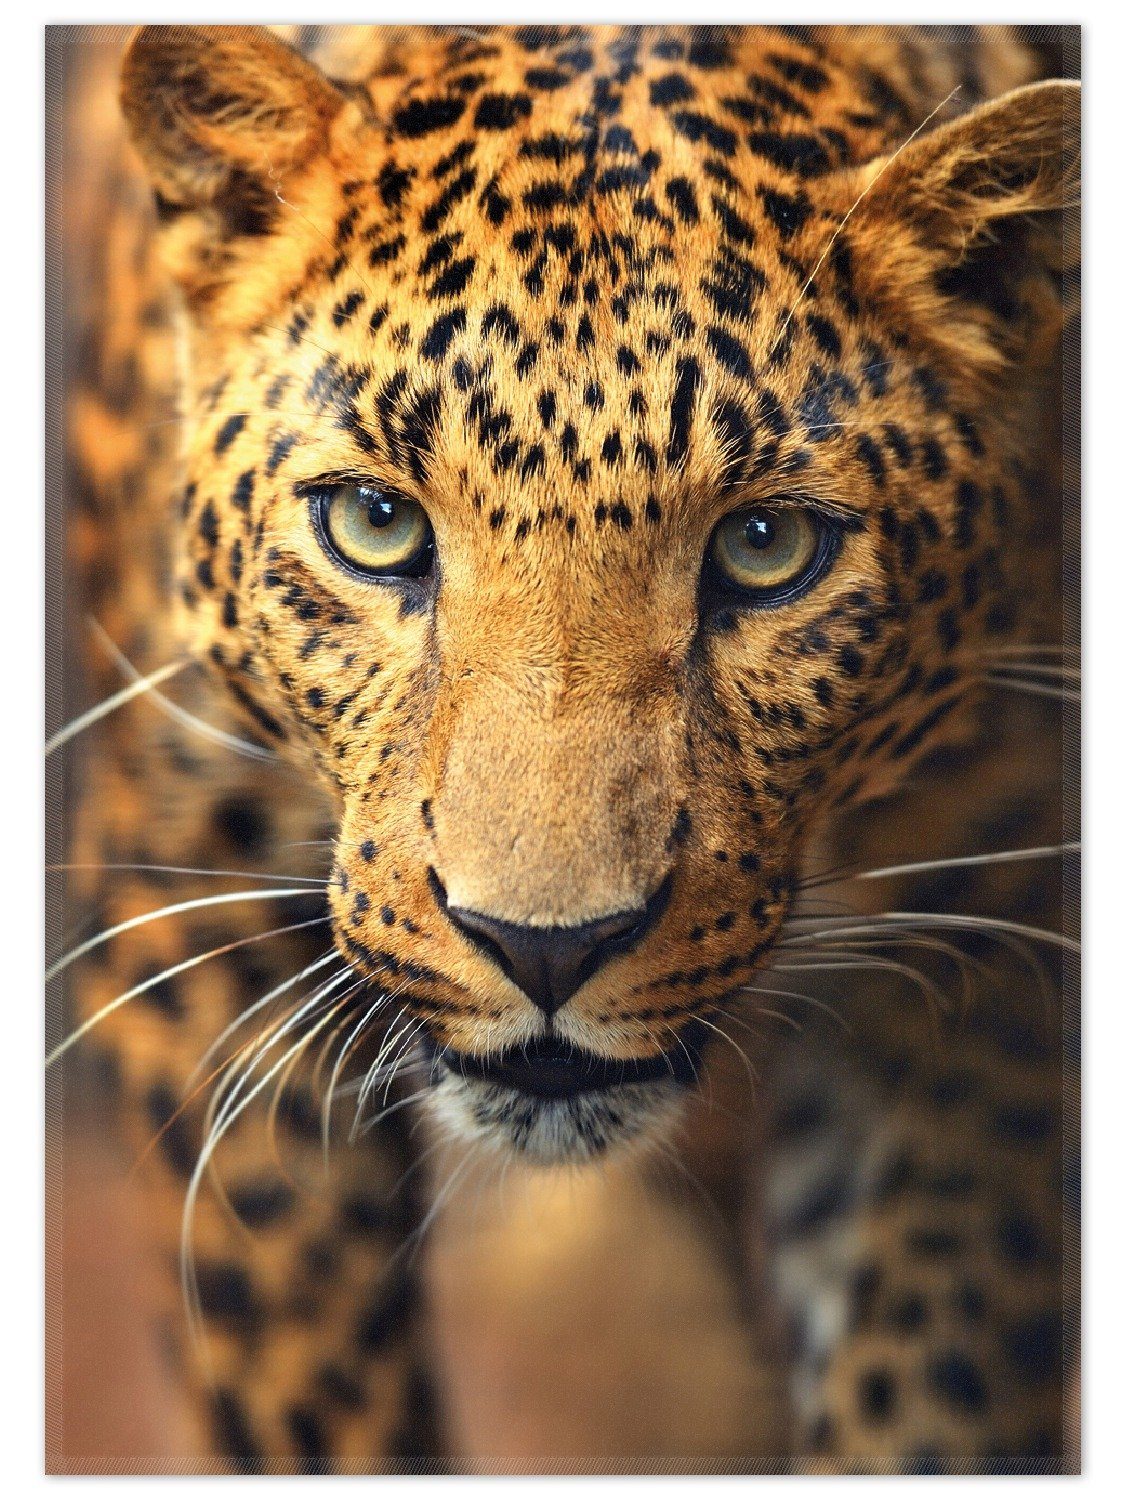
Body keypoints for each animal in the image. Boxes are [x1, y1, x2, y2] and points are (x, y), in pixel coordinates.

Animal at [47, 22, 1080, 1474]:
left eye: (767, 546)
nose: (545, 949)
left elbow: (929, 1376)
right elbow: (311, 1387)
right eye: (373, 523)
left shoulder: (994, 915)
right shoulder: (189, 893)